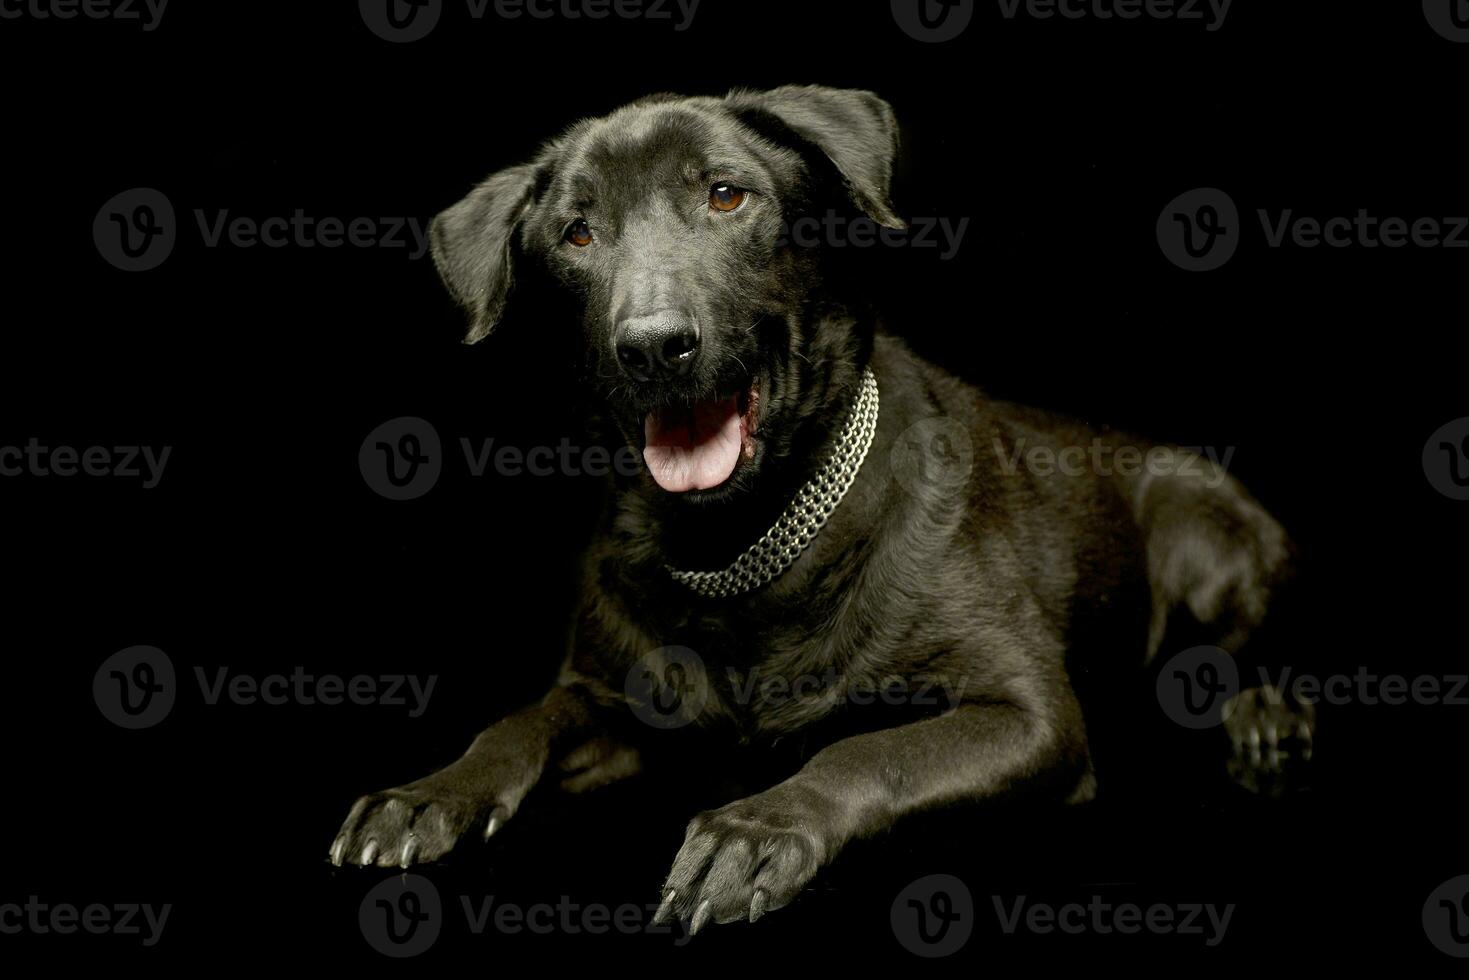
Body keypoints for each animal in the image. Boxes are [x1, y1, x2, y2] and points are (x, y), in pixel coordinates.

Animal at [327, 86, 1304, 934]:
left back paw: (1263, 711)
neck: (742, 540)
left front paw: (754, 830)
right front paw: (426, 795)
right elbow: (517, 721)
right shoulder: (612, 698)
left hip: (1202, 531)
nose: (653, 344)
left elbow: (867, 750)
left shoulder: (1028, 716)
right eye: (577, 231)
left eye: (725, 194)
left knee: (1242, 645)